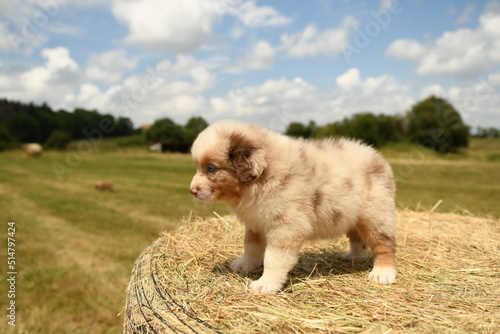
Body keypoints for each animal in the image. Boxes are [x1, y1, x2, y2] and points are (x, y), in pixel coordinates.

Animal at [189, 120, 396, 292]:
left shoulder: (286, 226)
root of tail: (378, 158)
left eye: (211, 169)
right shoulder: (256, 222)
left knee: (384, 245)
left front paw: (266, 284)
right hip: (352, 215)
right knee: (357, 237)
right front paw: (244, 265)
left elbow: (273, 258)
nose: (192, 190)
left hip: (376, 215)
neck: (264, 177)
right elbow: (251, 247)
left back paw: (383, 274)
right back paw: (354, 256)